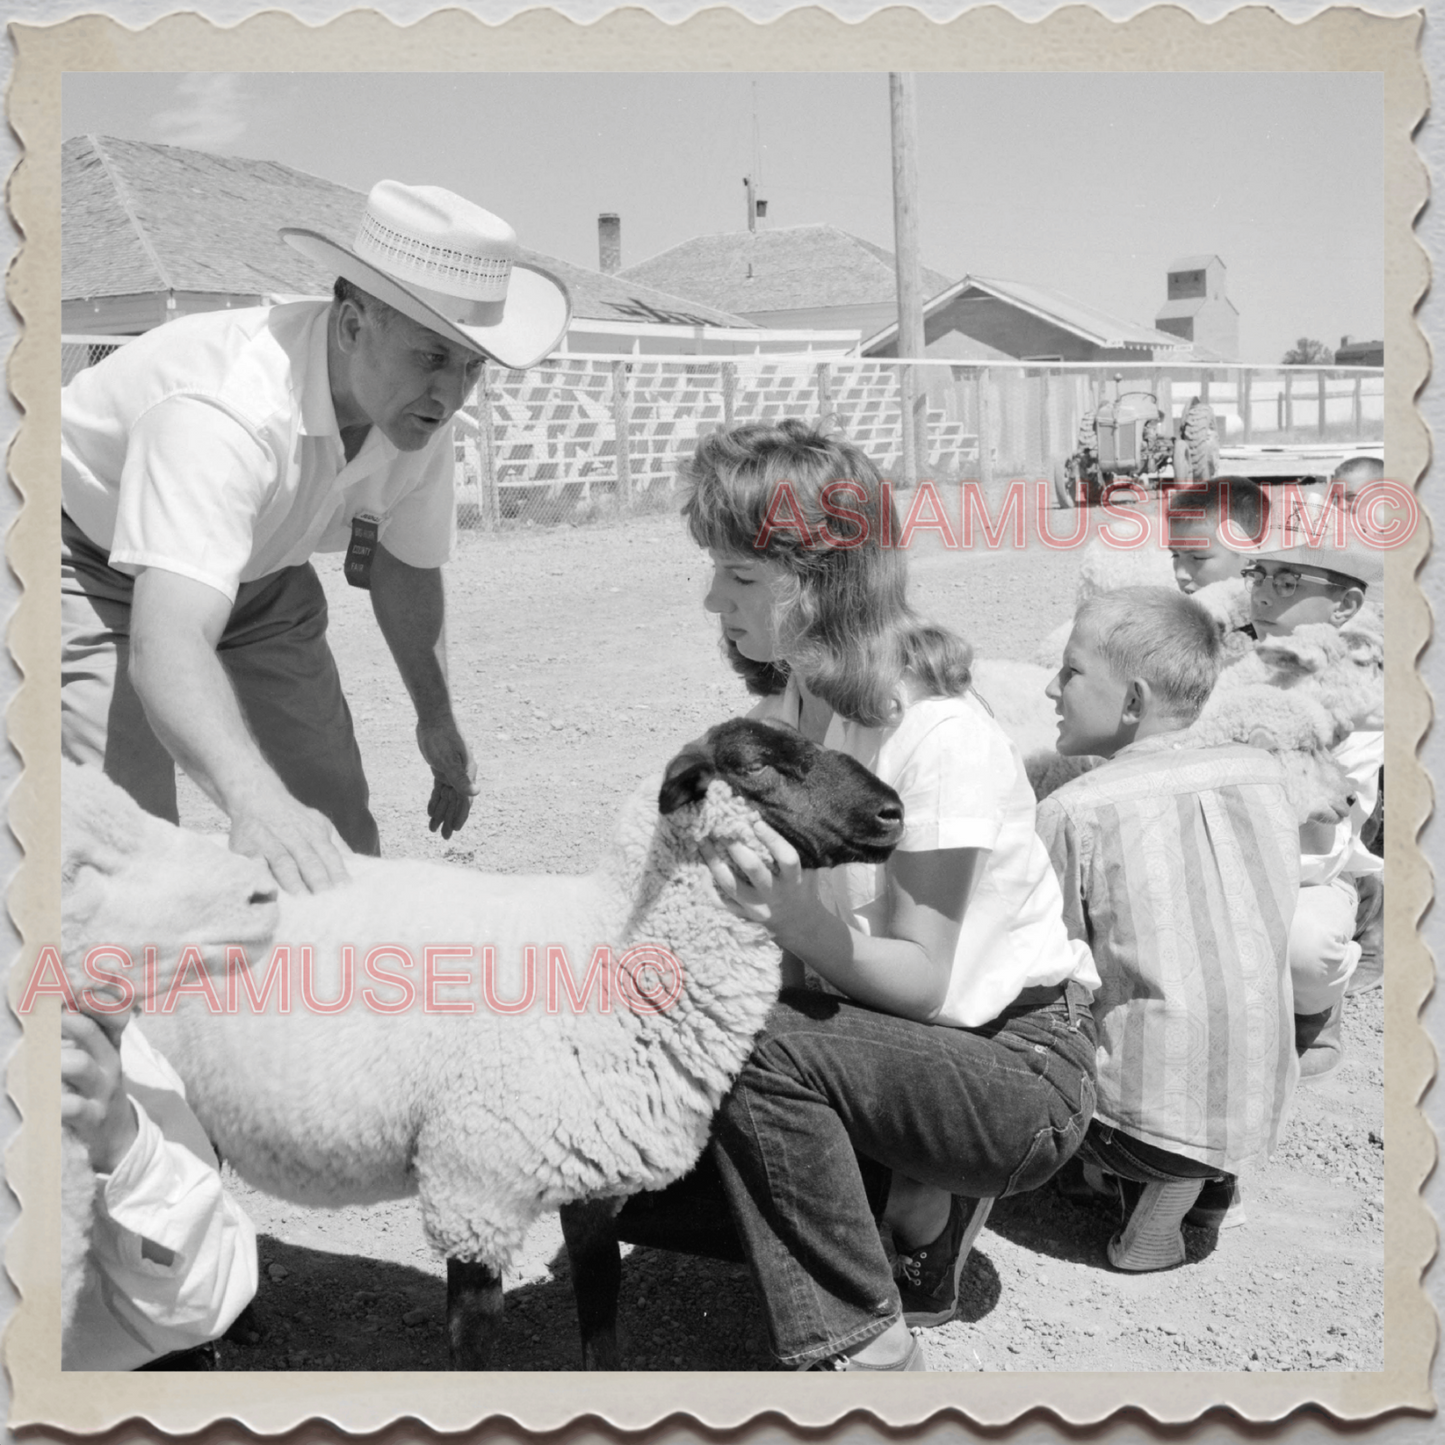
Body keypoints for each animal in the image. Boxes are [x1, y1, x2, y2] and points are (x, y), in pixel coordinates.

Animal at [70, 722, 901, 1364]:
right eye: (756, 765)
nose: (892, 811)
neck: (605, 944)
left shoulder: (591, 1183)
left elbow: (601, 1313)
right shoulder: (472, 1188)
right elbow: (474, 1340)